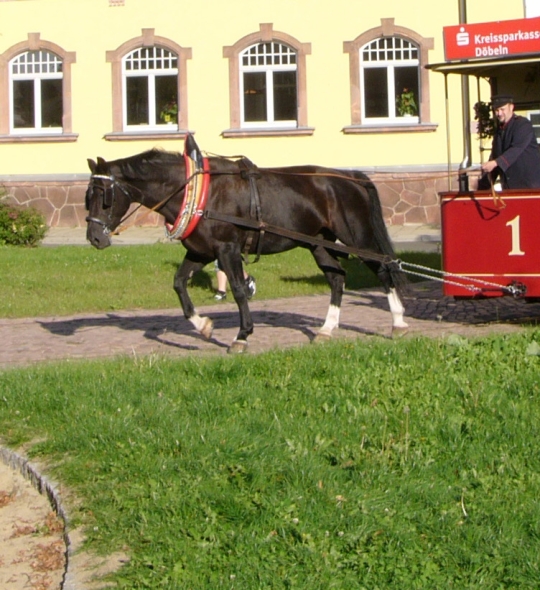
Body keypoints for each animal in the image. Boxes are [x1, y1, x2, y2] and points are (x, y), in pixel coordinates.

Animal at [85, 136, 404, 354]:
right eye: (88, 196)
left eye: (104, 195)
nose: (94, 238)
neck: (199, 192)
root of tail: (351, 176)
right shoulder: (201, 251)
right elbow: (179, 283)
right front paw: (203, 326)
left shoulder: (227, 249)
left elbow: (239, 289)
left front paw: (242, 336)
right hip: (319, 244)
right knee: (337, 279)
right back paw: (326, 329)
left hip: (356, 238)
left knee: (384, 270)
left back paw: (398, 322)